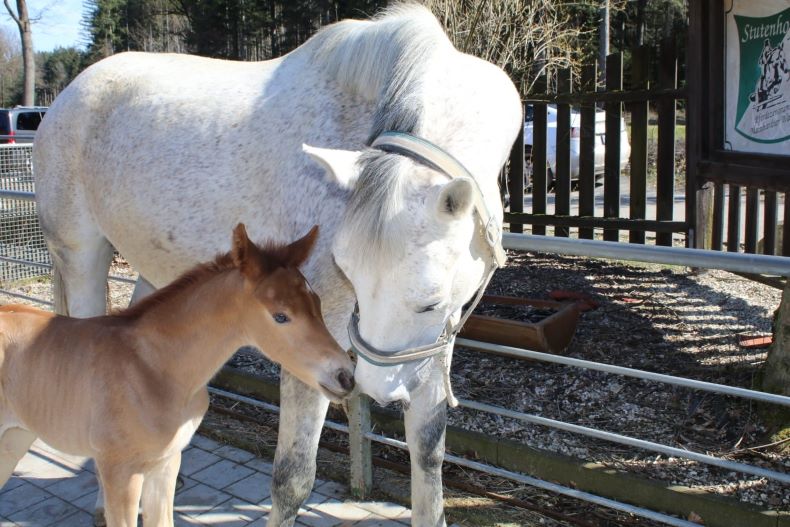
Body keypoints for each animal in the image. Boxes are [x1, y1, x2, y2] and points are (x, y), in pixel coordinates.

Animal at [0, 225, 354, 527]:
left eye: (317, 302)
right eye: (280, 316)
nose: (345, 376)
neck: (155, 369)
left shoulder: (166, 463)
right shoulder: (119, 473)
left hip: (14, 438)